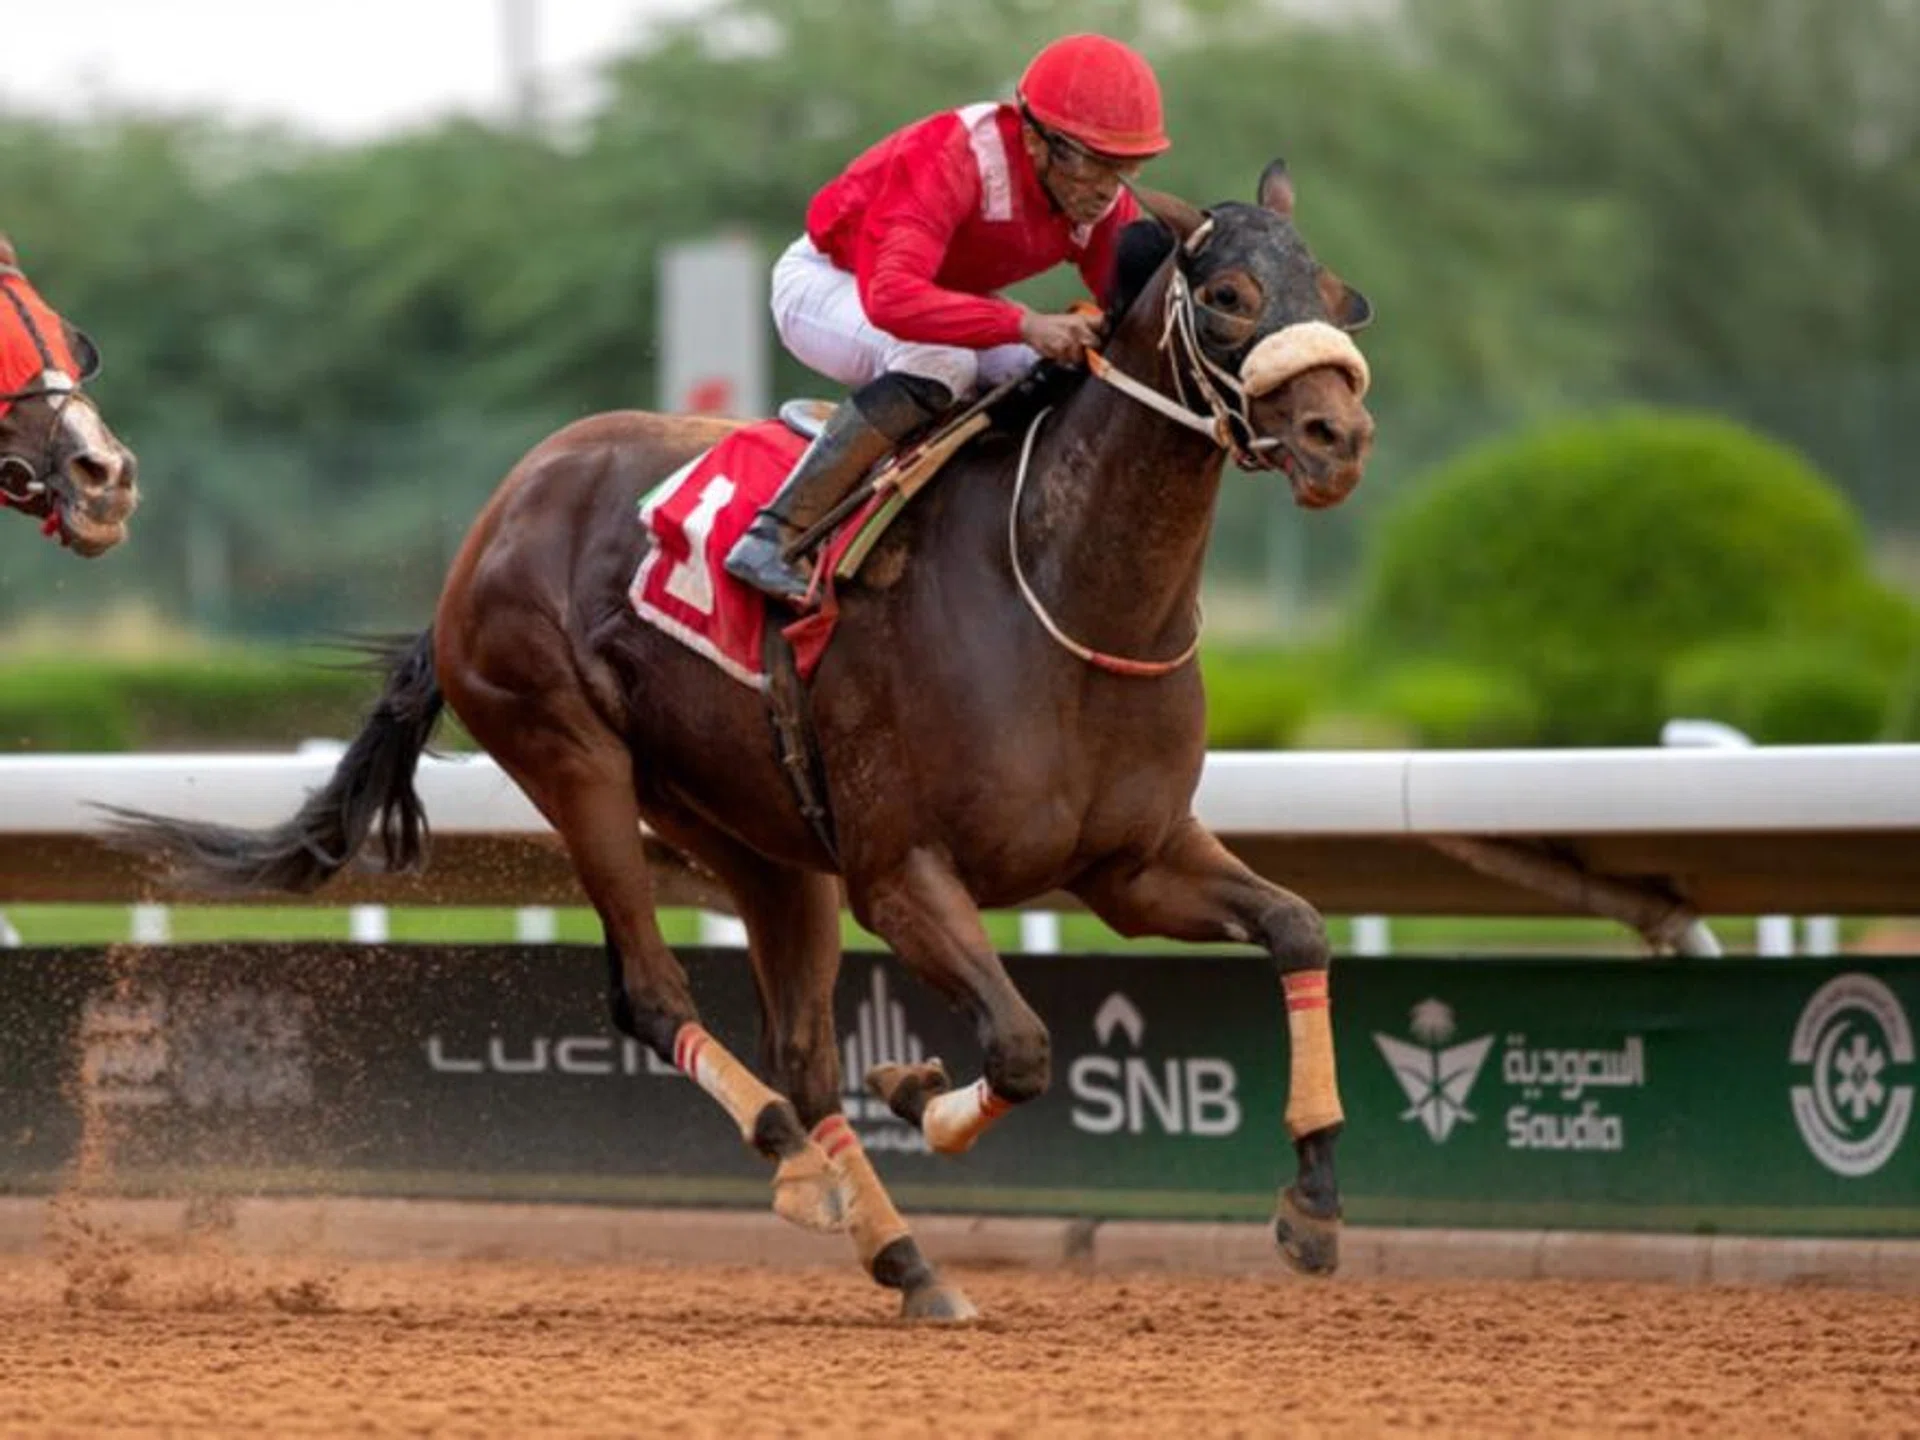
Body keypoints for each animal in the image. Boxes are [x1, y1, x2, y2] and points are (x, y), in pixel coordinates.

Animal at [112, 164, 1375, 1322]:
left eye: (1338, 297)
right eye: (1228, 295)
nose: (1338, 435)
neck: (1061, 592)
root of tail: (493, 520)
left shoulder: (1131, 862)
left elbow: (1298, 929)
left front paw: (1314, 1203)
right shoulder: (899, 873)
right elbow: (1018, 1046)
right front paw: (916, 1088)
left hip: (759, 835)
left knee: (803, 1051)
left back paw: (904, 1259)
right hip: (574, 758)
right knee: (659, 999)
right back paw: (800, 1165)